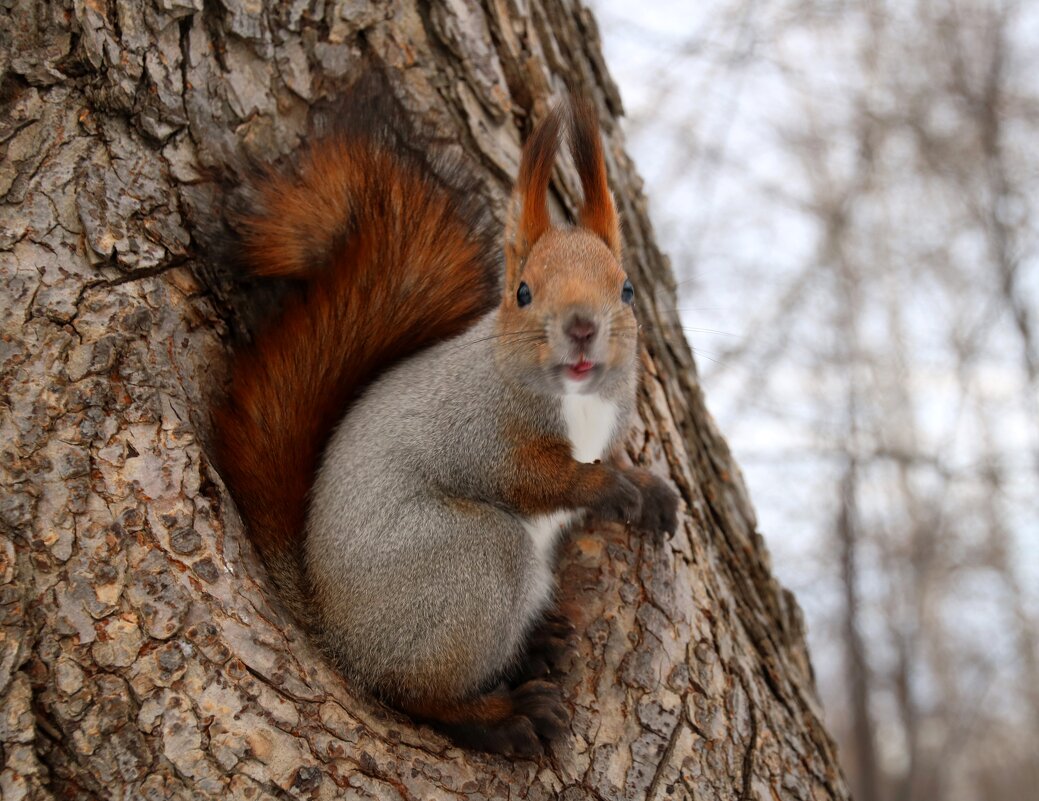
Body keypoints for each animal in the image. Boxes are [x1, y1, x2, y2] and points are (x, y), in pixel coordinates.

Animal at [211, 78, 681, 760]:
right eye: (522, 291)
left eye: (626, 289)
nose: (581, 328)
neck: (579, 403)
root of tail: (337, 632)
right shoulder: (480, 433)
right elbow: (533, 480)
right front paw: (609, 487)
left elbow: (612, 452)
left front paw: (647, 486)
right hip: (470, 564)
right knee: (414, 692)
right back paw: (498, 715)